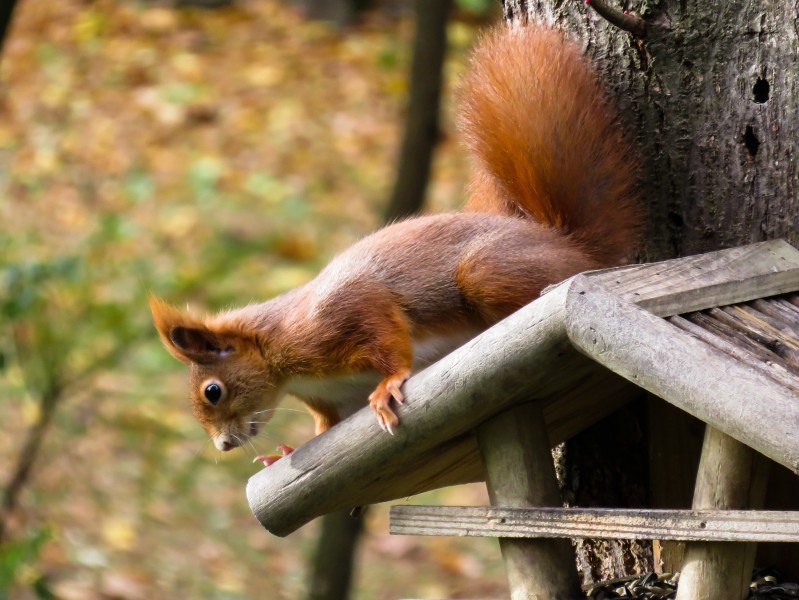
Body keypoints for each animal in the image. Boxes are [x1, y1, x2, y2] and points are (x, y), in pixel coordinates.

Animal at [150, 22, 640, 454]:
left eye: (213, 391)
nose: (224, 445)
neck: (285, 363)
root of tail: (568, 243)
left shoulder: (344, 314)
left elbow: (388, 338)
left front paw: (387, 386)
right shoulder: (336, 396)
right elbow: (327, 424)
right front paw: (285, 451)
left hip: (489, 270)